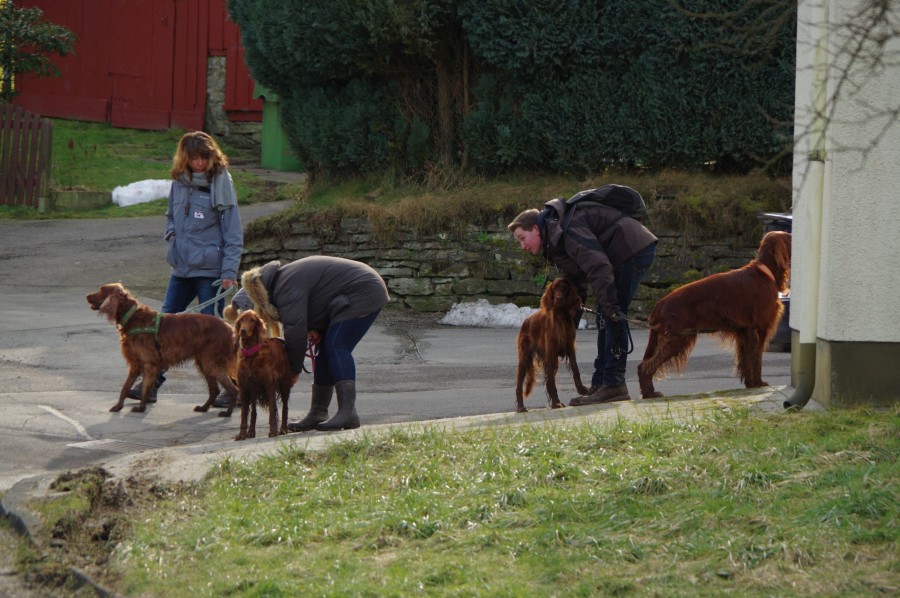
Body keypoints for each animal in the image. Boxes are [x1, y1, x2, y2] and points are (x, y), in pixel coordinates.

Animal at [86, 283, 239, 414]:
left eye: (101, 290)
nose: (86, 295)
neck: (133, 317)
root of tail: (229, 327)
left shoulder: (149, 363)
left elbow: (144, 388)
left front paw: (141, 408)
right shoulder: (135, 364)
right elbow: (125, 387)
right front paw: (118, 407)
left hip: (211, 362)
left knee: (233, 389)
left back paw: (228, 412)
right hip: (204, 362)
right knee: (215, 389)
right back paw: (204, 407)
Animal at [232, 310, 298, 440]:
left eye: (252, 320)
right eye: (241, 320)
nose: (243, 330)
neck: (251, 354)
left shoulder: (269, 386)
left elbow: (272, 410)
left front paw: (273, 431)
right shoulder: (245, 388)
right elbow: (244, 414)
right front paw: (242, 434)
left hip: (284, 385)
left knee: (285, 407)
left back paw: (283, 429)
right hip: (254, 391)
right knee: (254, 411)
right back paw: (251, 432)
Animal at [515, 278, 590, 412]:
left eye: (564, 289)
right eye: (554, 288)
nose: (558, 298)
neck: (560, 317)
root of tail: (526, 320)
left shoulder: (570, 349)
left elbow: (575, 371)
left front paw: (581, 389)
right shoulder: (549, 354)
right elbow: (551, 381)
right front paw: (556, 402)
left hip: (554, 362)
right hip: (524, 358)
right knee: (519, 385)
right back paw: (520, 407)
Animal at [637, 230, 791, 398]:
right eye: (790, 237)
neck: (765, 272)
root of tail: (658, 305)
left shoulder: (744, 332)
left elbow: (746, 360)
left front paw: (750, 383)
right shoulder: (758, 329)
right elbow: (756, 358)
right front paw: (758, 383)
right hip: (676, 337)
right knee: (646, 365)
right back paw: (650, 393)